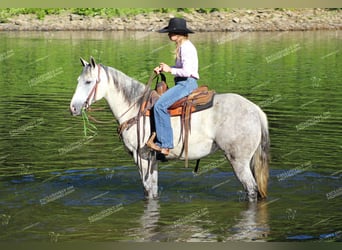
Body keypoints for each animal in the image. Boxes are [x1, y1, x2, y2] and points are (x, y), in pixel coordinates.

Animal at [69, 56, 270, 201]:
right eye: (78, 80)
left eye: (88, 82)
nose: (73, 108)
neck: (135, 108)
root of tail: (255, 110)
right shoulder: (151, 160)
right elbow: (153, 191)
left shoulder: (143, 157)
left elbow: (149, 191)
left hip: (238, 160)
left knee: (252, 190)